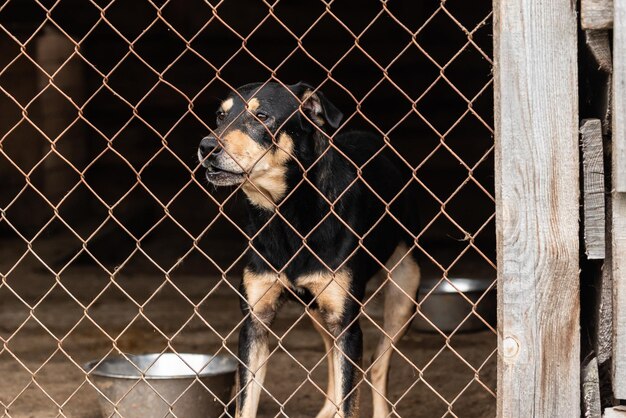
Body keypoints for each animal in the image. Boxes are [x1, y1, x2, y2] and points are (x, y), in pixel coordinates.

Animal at [195, 82, 420, 418]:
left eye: (262, 116)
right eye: (220, 116)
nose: (206, 146)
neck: (286, 216)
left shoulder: (346, 325)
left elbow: (350, 399)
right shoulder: (255, 322)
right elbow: (245, 404)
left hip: (404, 289)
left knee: (377, 365)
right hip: (317, 309)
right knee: (332, 359)